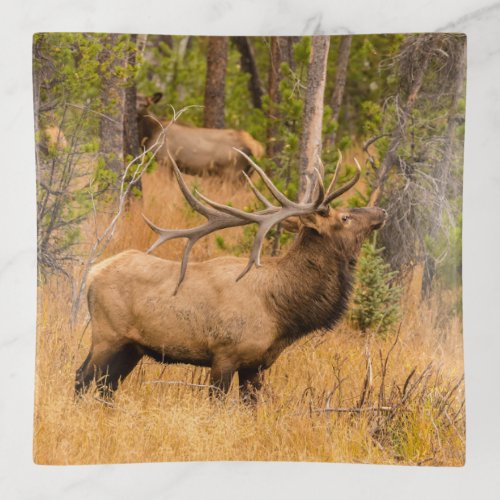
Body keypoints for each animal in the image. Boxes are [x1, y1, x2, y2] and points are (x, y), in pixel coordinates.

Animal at [75, 151, 386, 402]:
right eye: (345, 217)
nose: (380, 211)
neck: (281, 312)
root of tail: (92, 274)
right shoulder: (224, 353)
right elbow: (218, 403)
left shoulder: (256, 365)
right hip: (107, 334)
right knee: (82, 377)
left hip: (133, 346)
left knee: (107, 387)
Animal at [135, 94, 264, 180]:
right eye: (136, 101)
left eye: (146, 104)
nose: (137, 113)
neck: (151, 133)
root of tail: (258, 149)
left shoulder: (166, 160)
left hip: (232, 172)